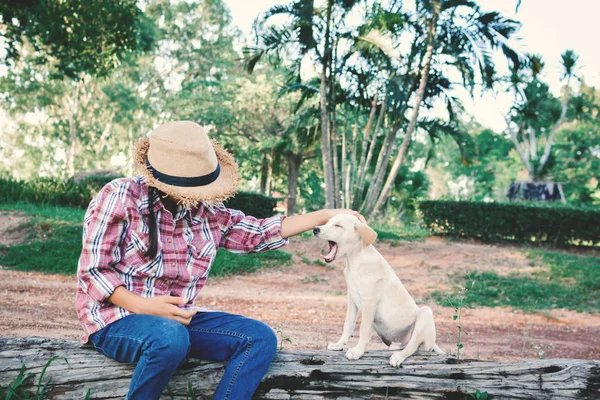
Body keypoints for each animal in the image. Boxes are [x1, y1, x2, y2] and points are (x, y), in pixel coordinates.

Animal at [314, 214, 446, 368]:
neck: (355, 261)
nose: (315, 229)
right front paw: (339, 344)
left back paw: (398, 357)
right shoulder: (352, 299)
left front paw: (358, 351)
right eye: (327, 222)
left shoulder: (369, 302)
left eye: (338, 225)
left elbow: (364, 329)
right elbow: (348, 324)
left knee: (413, 345)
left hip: (425, 313)